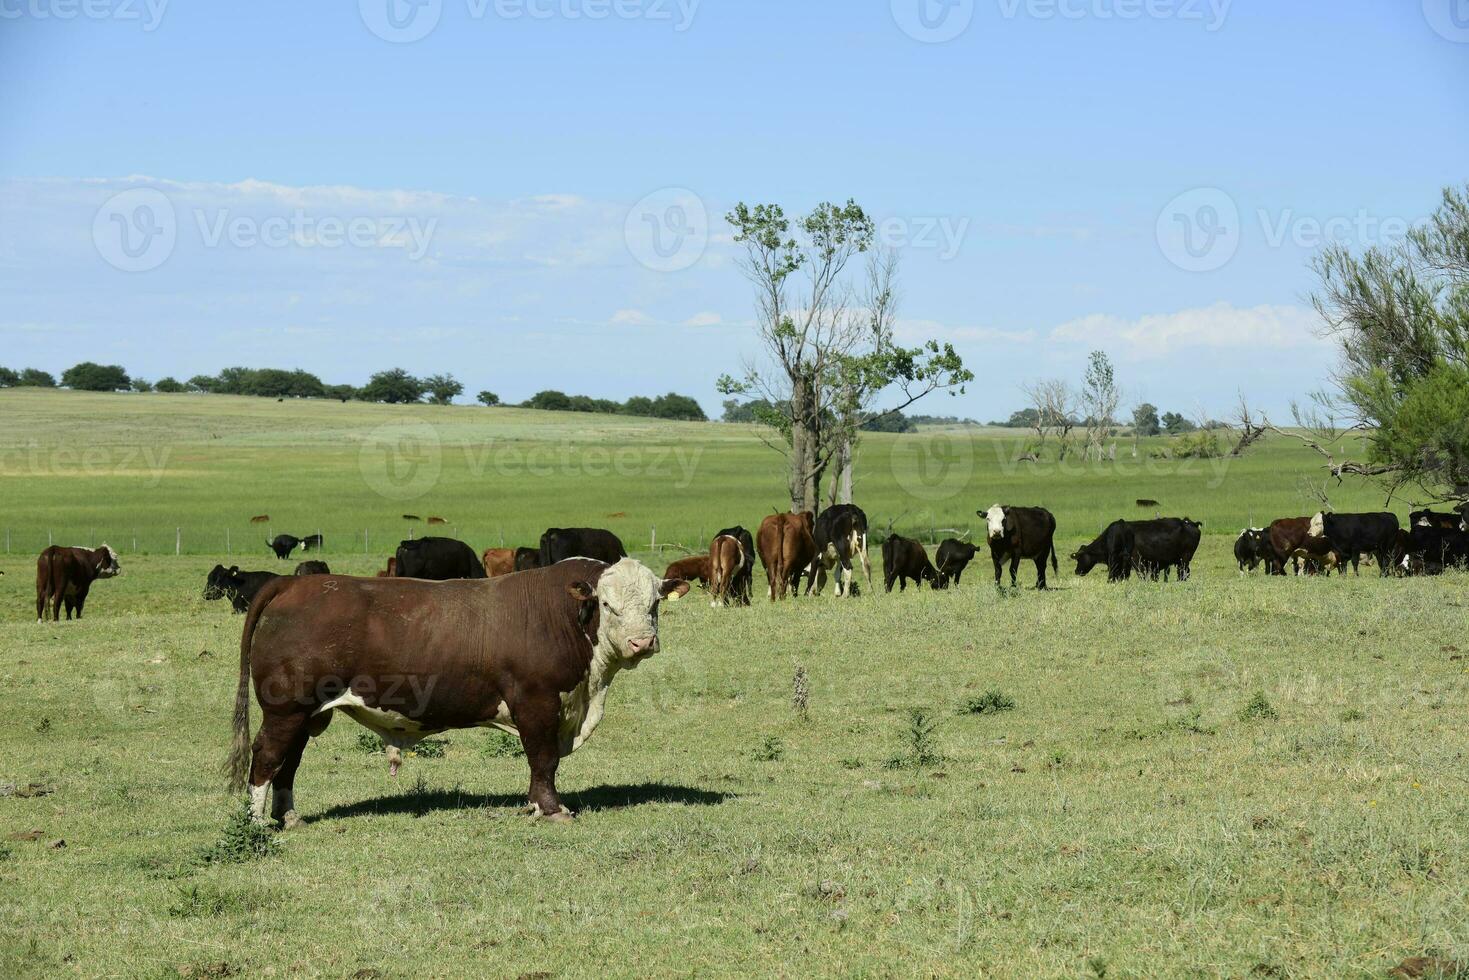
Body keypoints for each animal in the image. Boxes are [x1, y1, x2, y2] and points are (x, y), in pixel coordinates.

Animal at [224, 558, 693, 828]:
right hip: (285, 708)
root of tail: (291, 585)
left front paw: (536, 805)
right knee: (267, 756)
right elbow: (543, 759)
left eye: (654, 604)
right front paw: (551, 809)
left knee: (289, 761)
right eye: (608, 605)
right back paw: (256, 824)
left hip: (308, 713)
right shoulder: (536, 701)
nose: (642, 642)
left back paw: (290, 818)